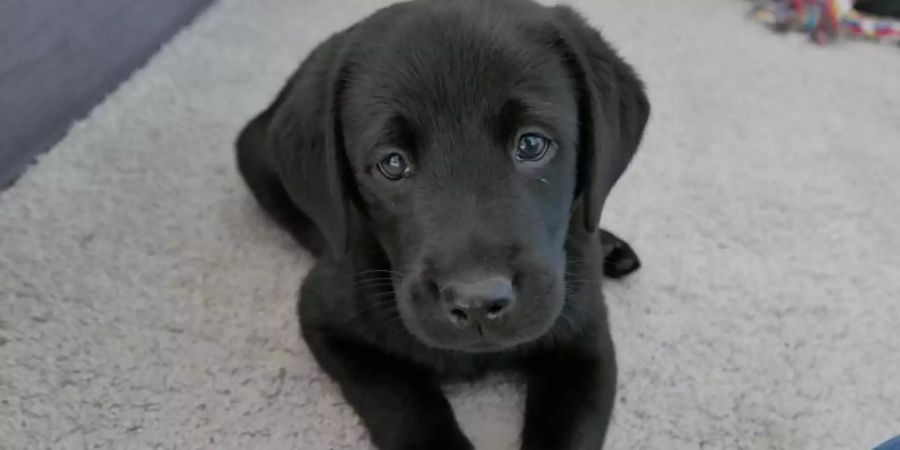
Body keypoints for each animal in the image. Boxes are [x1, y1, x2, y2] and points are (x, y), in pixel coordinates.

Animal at [237, 0, 648, 448]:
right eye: (393, 163)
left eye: (531, 144)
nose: (477, 303)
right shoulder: (326, 319)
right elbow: (402, 400)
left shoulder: (585, 338)